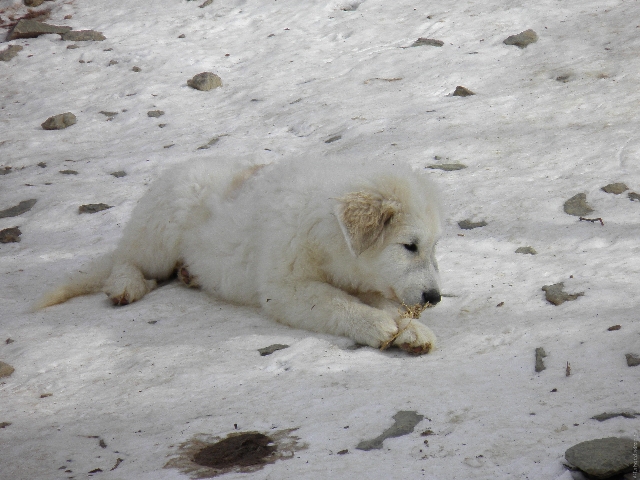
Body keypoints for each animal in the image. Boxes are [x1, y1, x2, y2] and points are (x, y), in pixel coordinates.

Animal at [37, 159, 442, 354]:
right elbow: (336, 302)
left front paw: (413, 330)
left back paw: (189, 275)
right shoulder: (285, 288)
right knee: (126, 259)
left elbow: (385, 302)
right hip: (159, 232)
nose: (434, 297)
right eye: (409, 246)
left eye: (433, 247)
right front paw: (379, 327)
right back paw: (126, 286)